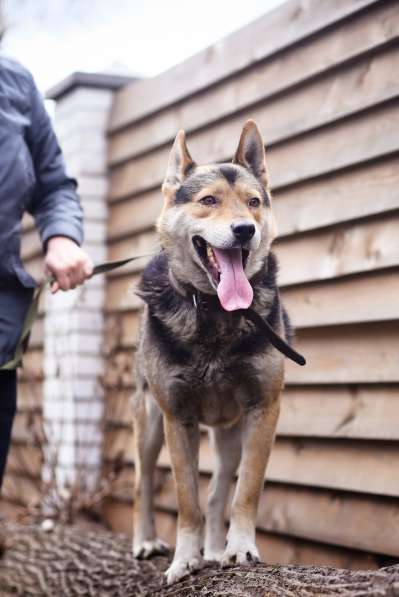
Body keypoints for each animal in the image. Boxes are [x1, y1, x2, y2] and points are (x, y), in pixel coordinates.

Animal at [133, 120, 292, 584]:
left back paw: (217, 547)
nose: (245, 230)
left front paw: (238, 548)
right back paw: (144, 541)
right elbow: (186, 498)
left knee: (220, 490)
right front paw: (185, 559)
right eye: (208, 201)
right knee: (143, 482)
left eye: (254, 202)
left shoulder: (262, 409)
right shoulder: (177, 417)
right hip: (149, 422)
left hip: (229, 435)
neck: (214, 311)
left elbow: (244, 492)